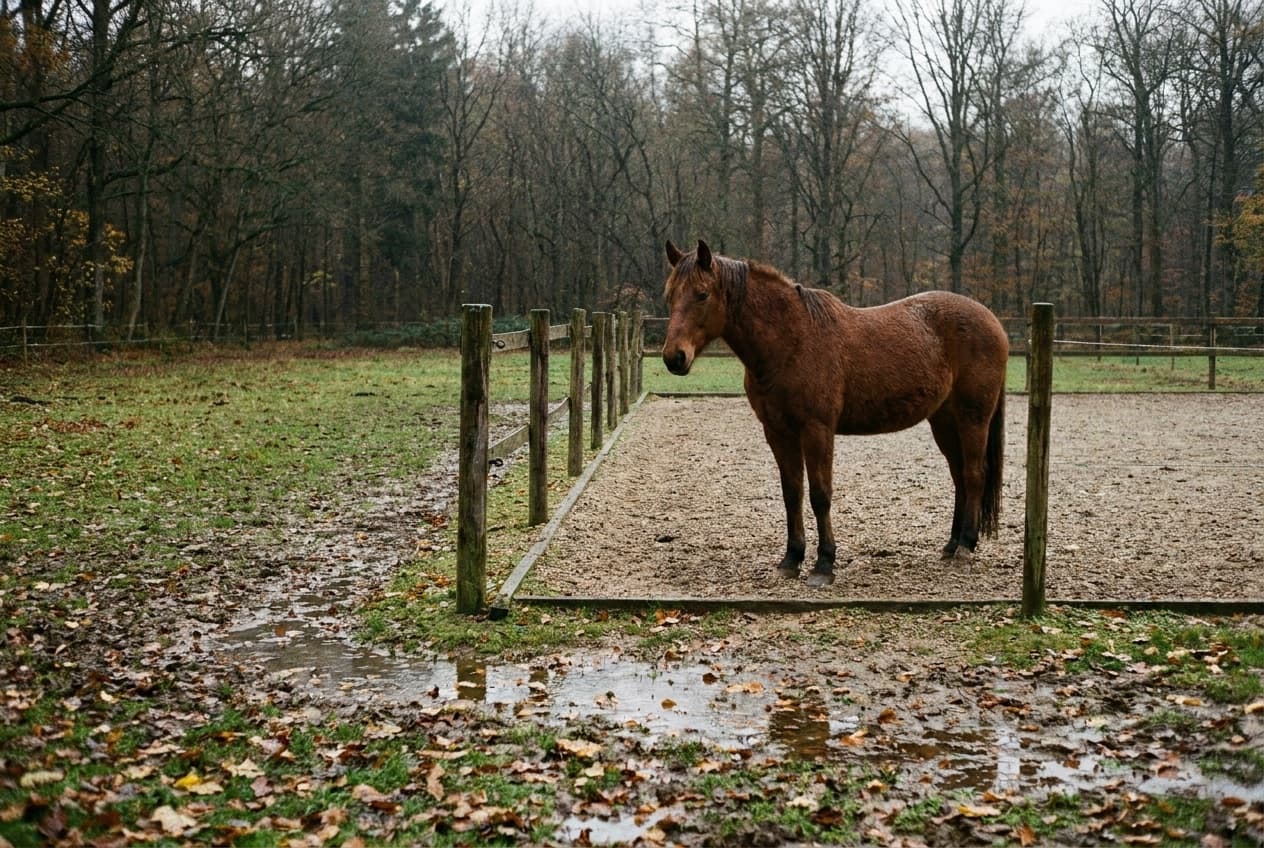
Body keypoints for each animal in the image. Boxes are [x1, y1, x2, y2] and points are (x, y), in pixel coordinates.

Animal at [662, 239, 1008, 588]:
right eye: (670, 294)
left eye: (702, 294)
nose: (674, 358)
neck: (792, 341)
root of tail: (991, 320)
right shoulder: (778, 432)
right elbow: (792, 494)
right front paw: (791, 559)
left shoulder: (817, 430)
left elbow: (820, 495)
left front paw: (824, 564)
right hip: (944, 421)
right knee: (959, 476)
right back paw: (952, 545)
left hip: (973, 418)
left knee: (974, 474)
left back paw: (965, 547)